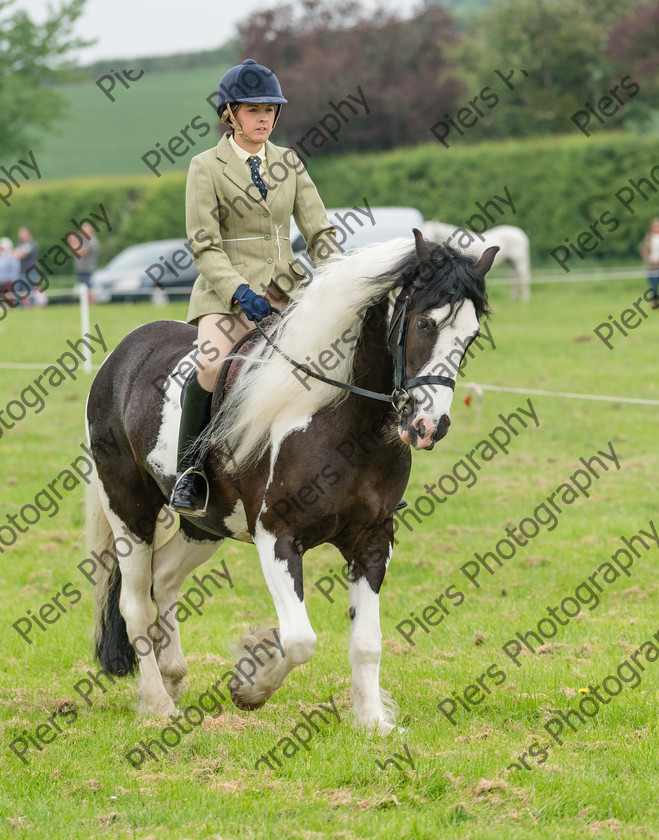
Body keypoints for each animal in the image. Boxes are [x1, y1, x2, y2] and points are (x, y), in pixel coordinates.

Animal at [87, 231, 498, 736]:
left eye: (471, 336)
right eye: (424, 323)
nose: (428, 427)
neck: (346, 422)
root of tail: (122, 352)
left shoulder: (373, 539)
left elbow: (367, 642)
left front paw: (372, 721)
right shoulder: (277, 536)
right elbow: (300, 638)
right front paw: (252, 682)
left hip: (204, 525)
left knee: (163, 582)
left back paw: (173, 677)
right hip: (128, 508)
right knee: (135, 604)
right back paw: (157, 703)